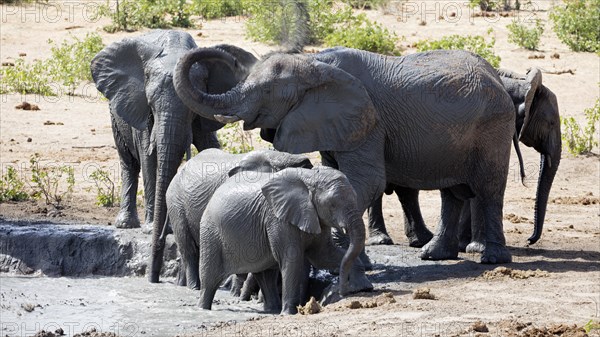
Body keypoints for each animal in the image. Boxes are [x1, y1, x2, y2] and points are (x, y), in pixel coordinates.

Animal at [89, 31, 258, 284]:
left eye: (191, 109)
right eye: (151, 104)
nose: (153, 277)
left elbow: (209, 146)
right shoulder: (141, 107)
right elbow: (150, 161)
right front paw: (151, 229)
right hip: (115, 113)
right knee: (128, 162)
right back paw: (126, 224)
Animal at [172, 46, 516, 262]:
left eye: (267, 91)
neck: (314, 63)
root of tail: (496, 75)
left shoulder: (367, 119)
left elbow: (368, 180)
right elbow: (335, 174)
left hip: (494, 127)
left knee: (488, 189)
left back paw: (492, 259)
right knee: (452, 193)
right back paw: (433, 255)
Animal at [199, 167, 372, 314]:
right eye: (332, 204)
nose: (343, 292)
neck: (310, 177)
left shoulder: (316, 217)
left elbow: (323, 254)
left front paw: (361, 287)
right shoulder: (278, 218)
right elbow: (292, 259)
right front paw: (289, 313)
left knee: (266, 275)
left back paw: (272, 310)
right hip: (210, 232)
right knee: (210, 279)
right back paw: (203, 309)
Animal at [368, 67, 560, 251]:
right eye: (550, 123)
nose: (529, 240)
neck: (519, 84)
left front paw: (463, 245)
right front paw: (477, 248)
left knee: (406, 191)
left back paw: (420, 241)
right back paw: (382, 240)